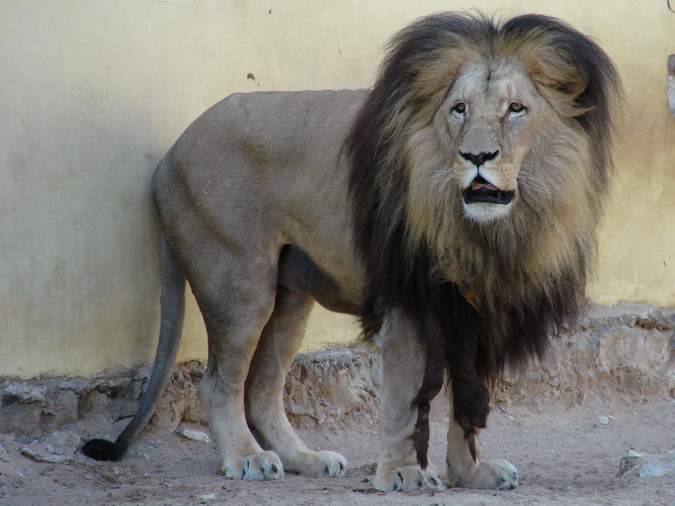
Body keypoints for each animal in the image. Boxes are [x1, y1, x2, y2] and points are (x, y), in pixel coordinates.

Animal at [83, 12, 620, 492]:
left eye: (516, 109)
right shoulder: (410, 301)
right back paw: (247, 459)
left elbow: (469, 400)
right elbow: (405, 397)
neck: (492, 231)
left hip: (290, 299)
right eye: (459, 109)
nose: (477, 157)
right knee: (220, 383)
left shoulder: (479, 309)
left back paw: (304, 459)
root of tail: (170, 154)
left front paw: (472, 473)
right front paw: (403, 474)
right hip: (239, 285)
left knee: (262, 389)